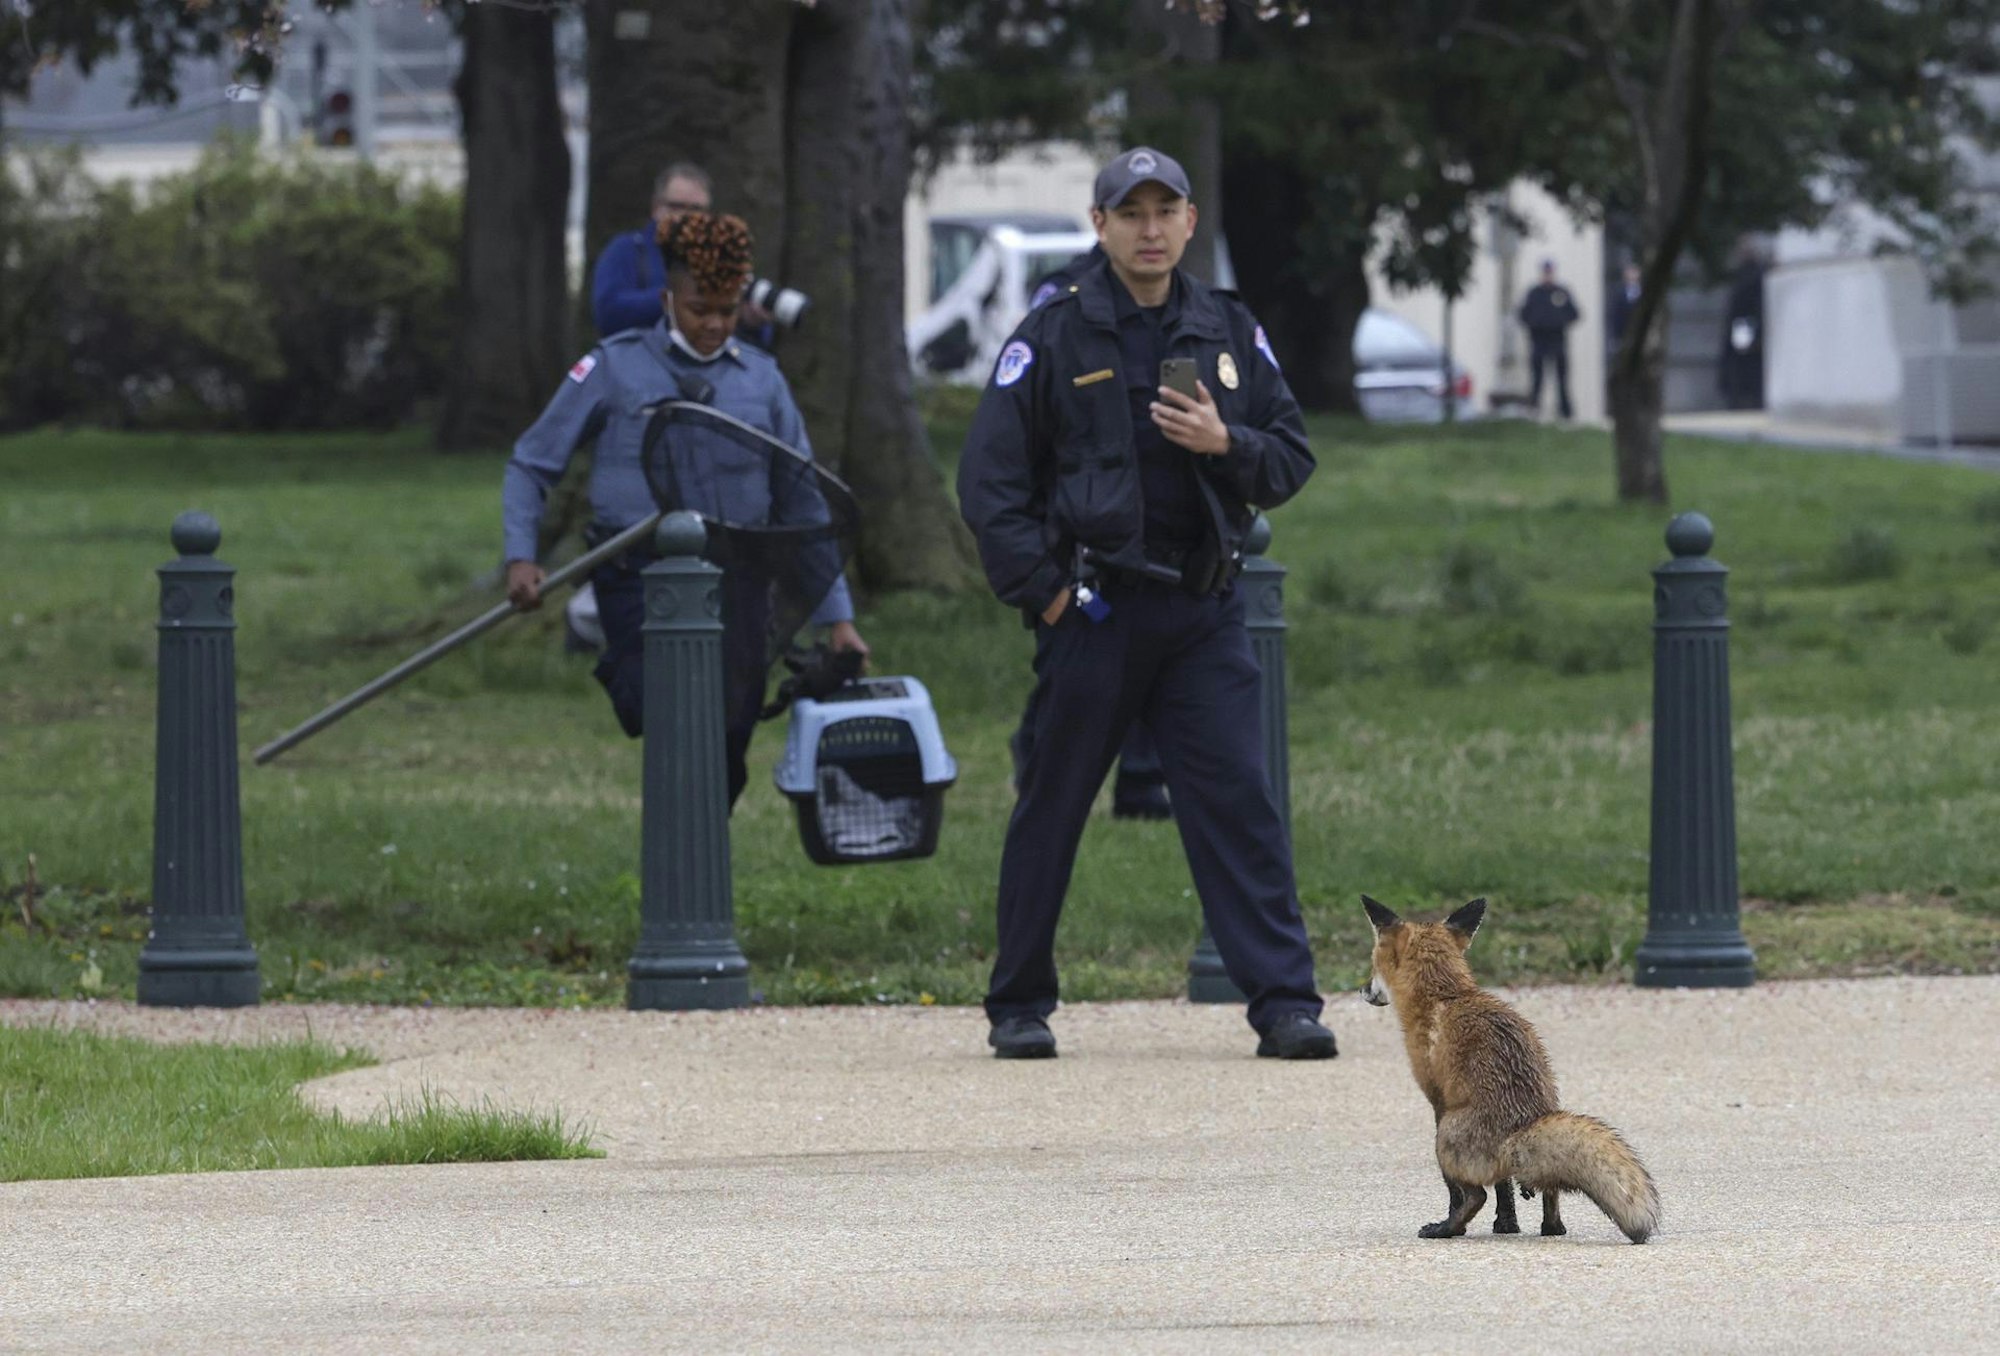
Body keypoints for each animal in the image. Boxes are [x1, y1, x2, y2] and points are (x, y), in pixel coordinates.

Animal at [1361, 895, 1660, 1244]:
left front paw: (1475, 1220)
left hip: (1444, 1139)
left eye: (1373, 964)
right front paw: (1507, 1223)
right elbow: (1505, 1186)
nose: (1362, 990)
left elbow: (1461, 1193)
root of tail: (1521, 1125)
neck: (1446, 996)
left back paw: (1448, 1229)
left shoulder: (1438, 1101)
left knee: (1476, 1196)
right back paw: (1551, 1227)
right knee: (1550, 1191)